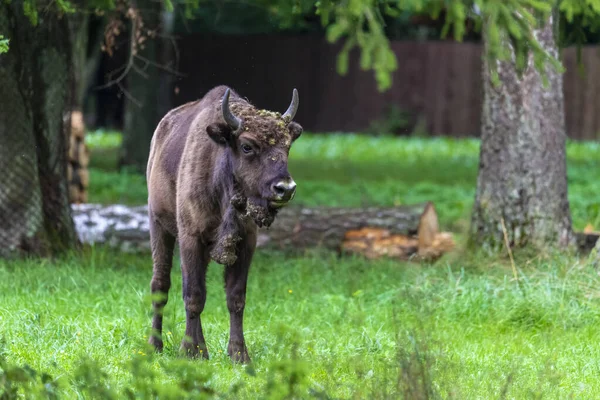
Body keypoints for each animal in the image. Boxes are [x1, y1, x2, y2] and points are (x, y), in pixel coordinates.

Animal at [145, 86, 302, 364]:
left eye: (287, 145)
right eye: (247, 146)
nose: (285, 188)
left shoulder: (245, 242)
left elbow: (235, 297)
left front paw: (239, 354)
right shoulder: (190, 238)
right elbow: (194, 295)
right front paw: (190, 351)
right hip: (158, 225)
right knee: (160, 285)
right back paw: (156, 345)